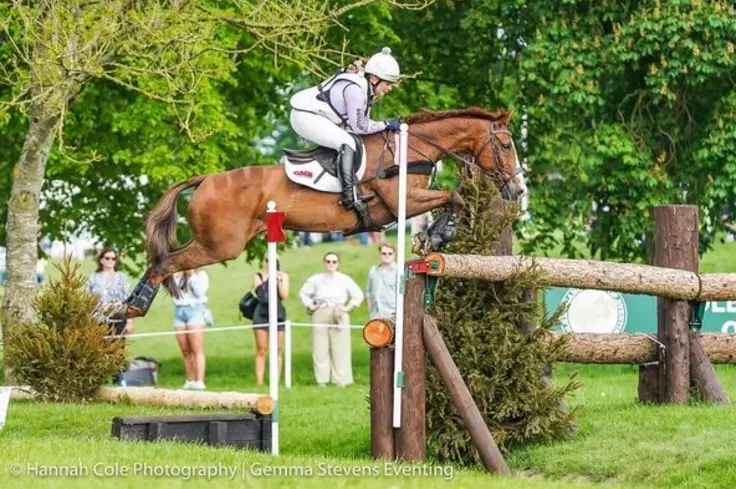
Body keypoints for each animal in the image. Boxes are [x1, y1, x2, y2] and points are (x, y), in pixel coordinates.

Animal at [115, 107, 527, 320]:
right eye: (507, 144)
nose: (519, 190)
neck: (412, 148)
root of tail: (206, 180)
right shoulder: (402, 202)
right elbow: (456, 197)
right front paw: (439, 235)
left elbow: (453, 198)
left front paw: (435, 237)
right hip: (221, 245)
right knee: (165, 262)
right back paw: (131, 308)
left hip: (214, 241)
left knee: (164, 260)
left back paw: (126, 307)